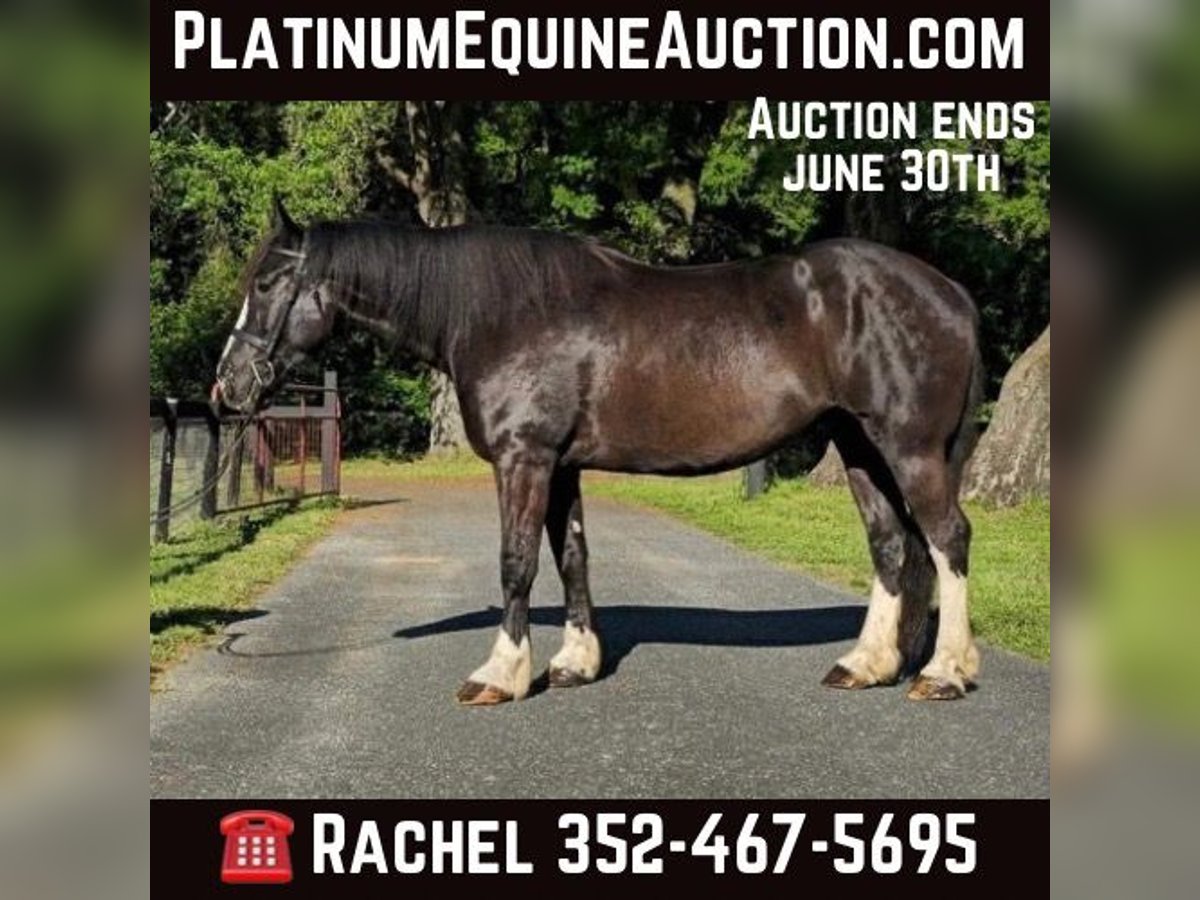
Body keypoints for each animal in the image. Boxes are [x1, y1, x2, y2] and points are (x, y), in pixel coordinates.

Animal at [215, 198, 984, 706]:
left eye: (266, 283)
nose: (226, 387)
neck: (499, 311)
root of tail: (950, 292)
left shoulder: (525, 459)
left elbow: (518, 562)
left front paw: (500, 674)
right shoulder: (561, 465)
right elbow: (572, 557)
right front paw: (575, 664)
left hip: (909, 447)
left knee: (947, 538)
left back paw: (943, 673)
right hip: (859, 446)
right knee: (891, 544)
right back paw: (866, 663)